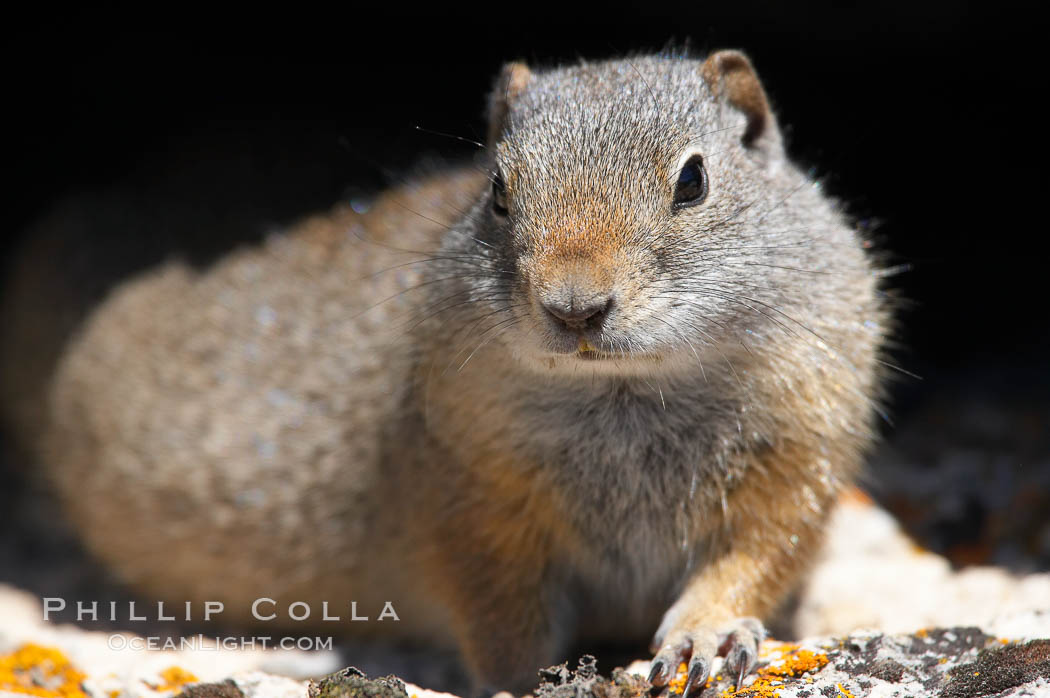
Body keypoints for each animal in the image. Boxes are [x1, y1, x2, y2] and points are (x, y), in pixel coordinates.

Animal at [2, 51, 886, 692]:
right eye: (497, 189)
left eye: (694, 180)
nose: (574, 308)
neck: (625, 390)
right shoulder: (472, 505)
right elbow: (503, 624)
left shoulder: (796, 465)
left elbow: (748, 566)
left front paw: (708, 637)